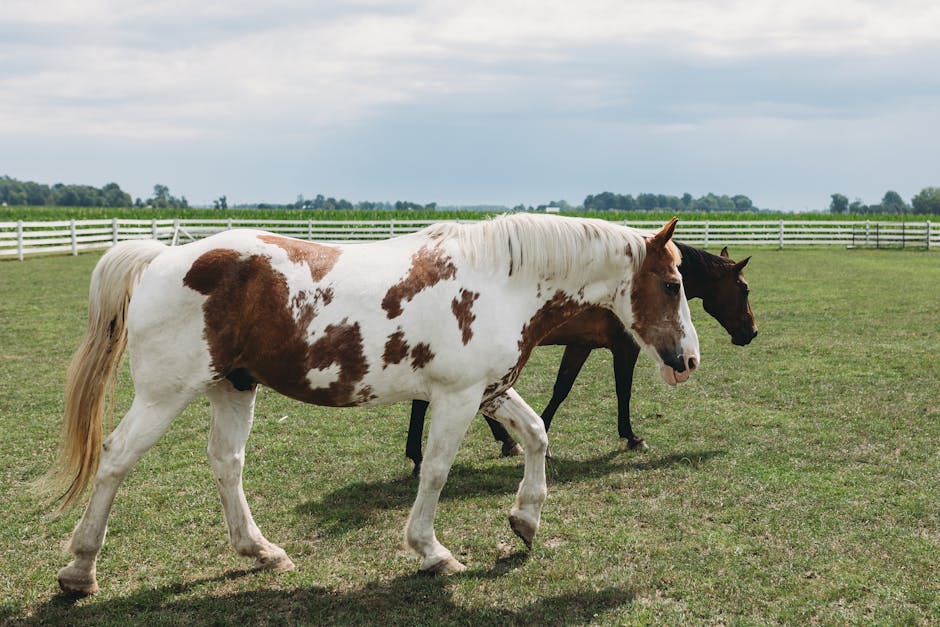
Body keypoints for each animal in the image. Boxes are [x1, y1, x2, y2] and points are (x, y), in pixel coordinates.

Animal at [51, 212, 696, 592]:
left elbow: (537, 435)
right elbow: (435, 471)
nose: (687, 360)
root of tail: (161, 258)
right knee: (115, 458)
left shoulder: (490, 390)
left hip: (231, 387)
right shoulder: (457, 397)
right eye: (672, 285)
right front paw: (431, 551)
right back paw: (80, 569)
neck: (499, 280)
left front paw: (525, 521)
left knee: (226, 465)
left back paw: (261, 551)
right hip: (164, 395)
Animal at [406, 243, 756, 474]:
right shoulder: (625, 349)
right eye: (745, 289)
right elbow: (622, 391)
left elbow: (561, 389)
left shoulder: (580, 346)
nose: (751, 332)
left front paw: (543, 437)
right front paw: (631, 437)